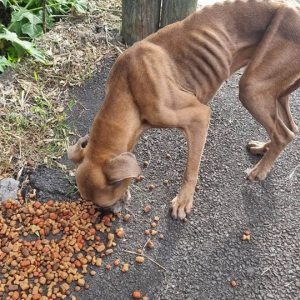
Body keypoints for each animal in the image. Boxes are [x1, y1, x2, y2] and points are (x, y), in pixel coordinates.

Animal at [68, 0, 300, 219]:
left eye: (107, 202)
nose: (110, 213)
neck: (127, 88)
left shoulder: (199, 117)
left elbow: (191, 169)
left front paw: (183, 202)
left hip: (251, 89)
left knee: (283, 134)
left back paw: (259, 171)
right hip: (274, 91)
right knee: (289, 128)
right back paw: (264, 147)